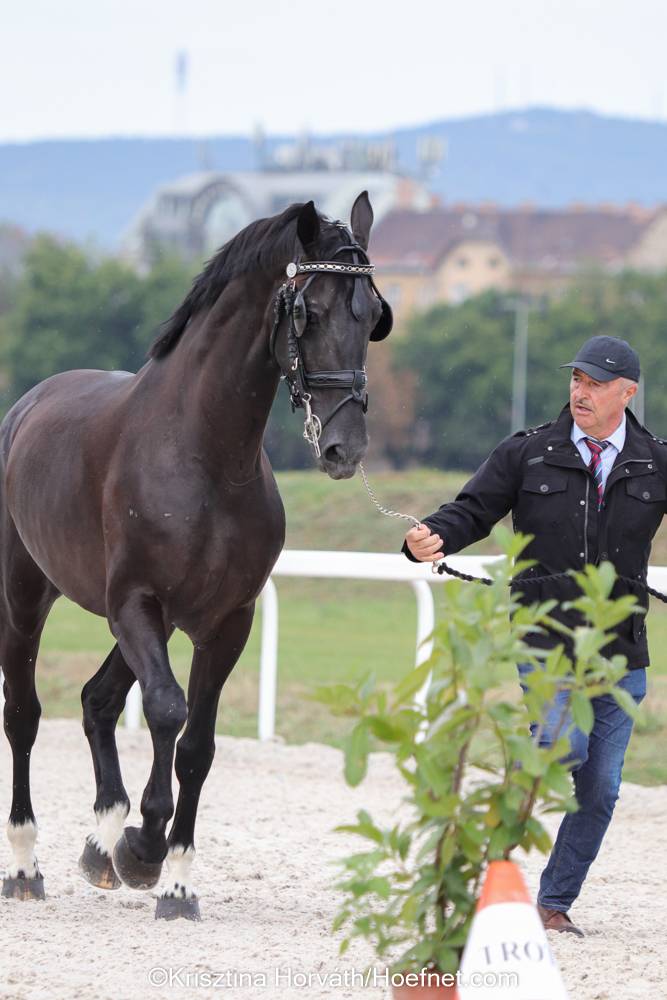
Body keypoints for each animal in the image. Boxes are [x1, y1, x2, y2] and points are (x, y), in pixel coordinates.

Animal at [0, 192, 392, 920]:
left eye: (373, 314)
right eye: (312, 310)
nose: (344, 447)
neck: (204, 454)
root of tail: (28, 405)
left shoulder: (224, 621)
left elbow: (198, 744)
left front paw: (174, 879)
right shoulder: (136, 604)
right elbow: (166, 711)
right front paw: (144, 847)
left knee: (98, 700)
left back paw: (99, 845)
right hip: (25, 598)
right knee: (24, 716)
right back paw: (26, 864)